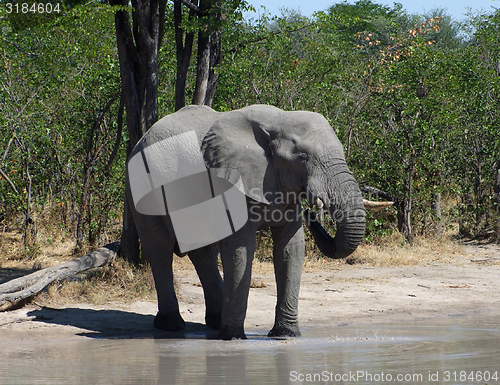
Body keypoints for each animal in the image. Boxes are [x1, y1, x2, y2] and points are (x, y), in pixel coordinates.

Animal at [125, 103, 368, 340]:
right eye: (303, 157)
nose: (312, 213)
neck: (280, 120)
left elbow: (291, 248)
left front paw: (286, 334)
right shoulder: (233, 181)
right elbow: (240, 247)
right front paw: (233, 337)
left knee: (203, 252)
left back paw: (215, 321)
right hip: (142, 184)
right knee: (159, 247)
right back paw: (172, 325)